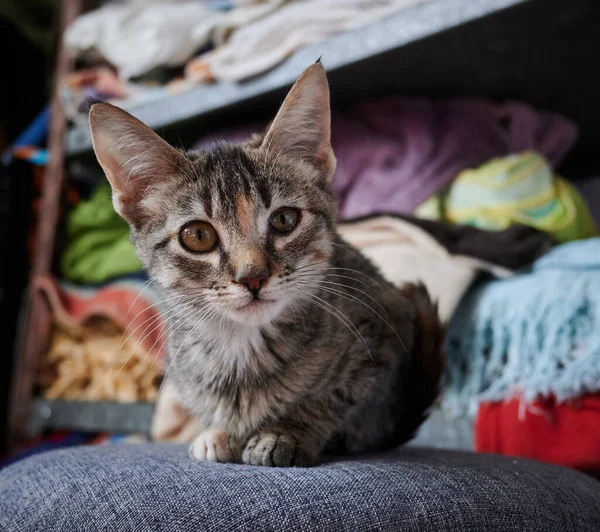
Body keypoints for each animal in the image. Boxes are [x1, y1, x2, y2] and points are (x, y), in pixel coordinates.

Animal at [90, 64, 446, 468]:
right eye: (197, 235)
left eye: (284, 220)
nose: (253, 277)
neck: (242, 349)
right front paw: (218, 431)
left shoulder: (381, 344)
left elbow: (331, 399)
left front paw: (285, 432)